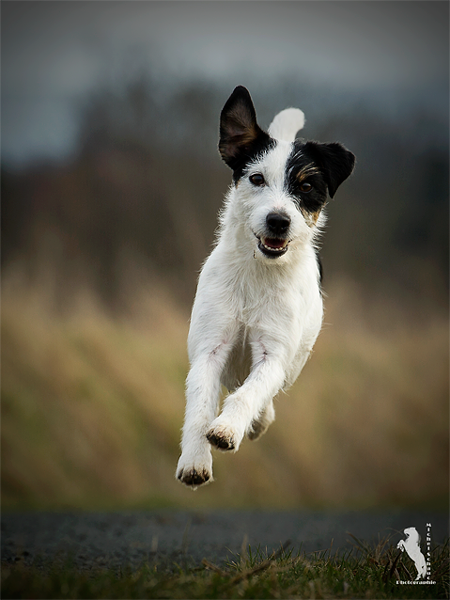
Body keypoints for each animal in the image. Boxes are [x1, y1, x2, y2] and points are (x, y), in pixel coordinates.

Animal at [176, 85, 356, 488]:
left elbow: (251, 394)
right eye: (257, 179)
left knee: (262, 395)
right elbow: (199, 407)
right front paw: (195, 459)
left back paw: (256, 422)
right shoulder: (209, 350)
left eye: (306, 185)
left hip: (295, 360)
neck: (258, 273)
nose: (278, 220)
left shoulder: (273, 354)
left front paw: (228, 428)